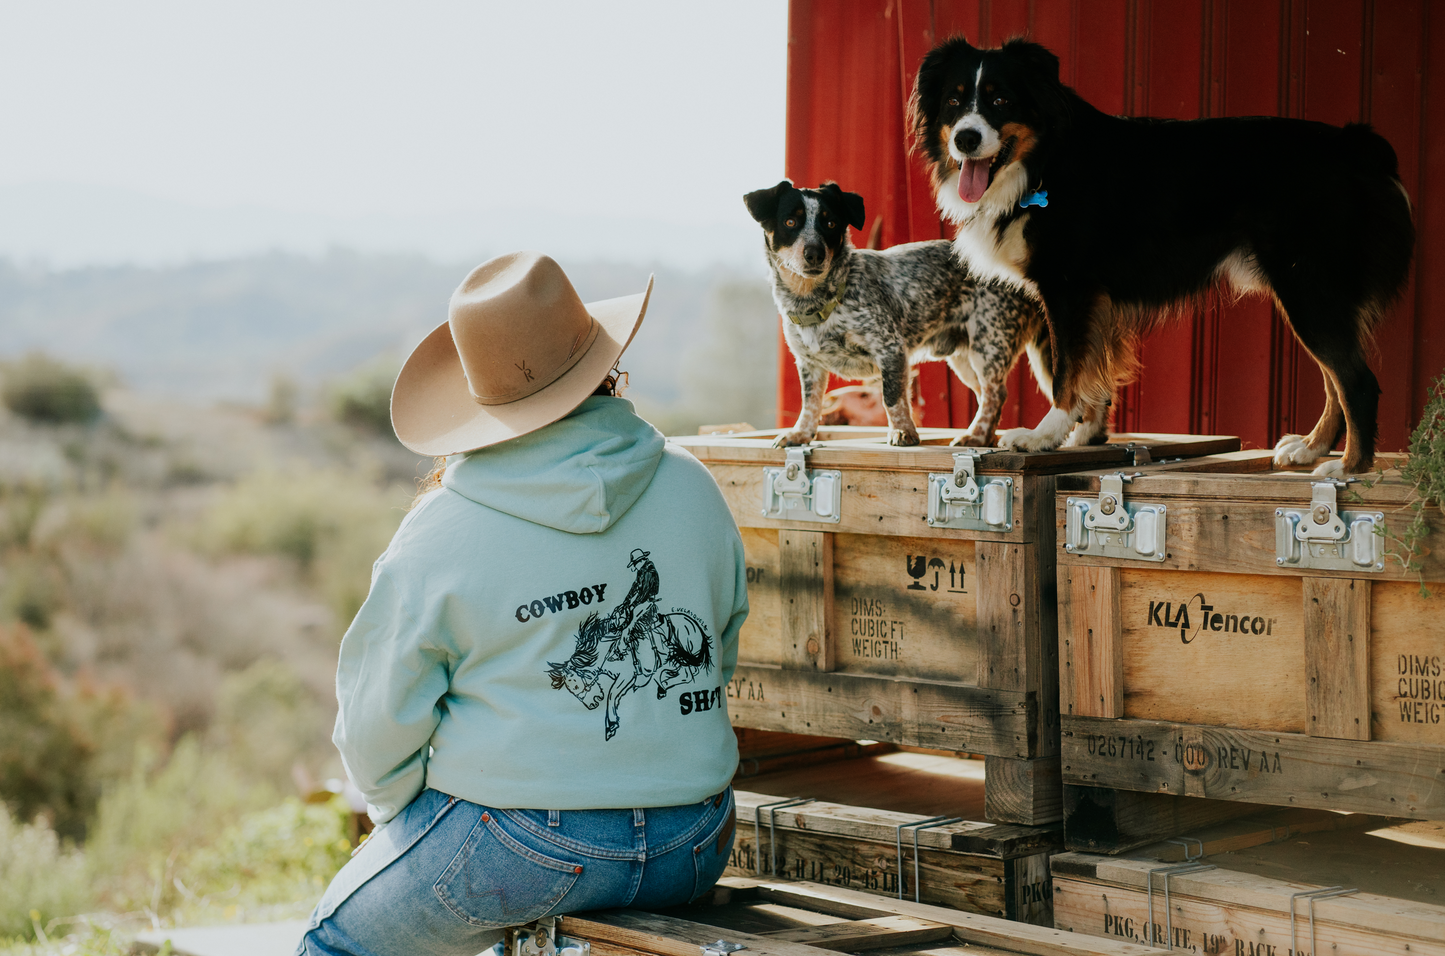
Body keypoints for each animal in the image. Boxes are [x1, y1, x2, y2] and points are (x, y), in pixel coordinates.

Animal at [751, 180, 1046, 450]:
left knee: (995, 393)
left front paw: (903, 432)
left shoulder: (890, 349)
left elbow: (891, 397)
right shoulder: (809, 363)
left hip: (989, 346)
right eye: (790, 222)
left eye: (831, 223)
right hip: (964, 359)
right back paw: (983, 437)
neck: (816, 301)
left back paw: (975, 435)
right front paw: (800, 435)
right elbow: (810, 403)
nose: (814, 253)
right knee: (986, 395)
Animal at [913, 38, 1410, 476]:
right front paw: (1085, 433)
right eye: (954, 102)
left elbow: (1065, 372)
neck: (1045, 159)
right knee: (1334, 379)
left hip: (1309, 288)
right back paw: (1311, 448)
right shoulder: (1092, 301)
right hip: (1311, 293)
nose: (966, 139)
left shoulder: (1069, 287)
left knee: (1356, 381)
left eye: (1000, 101)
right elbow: (1090, 368)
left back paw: (1347, 469)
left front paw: (1044, 436)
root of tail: (1355, 146)